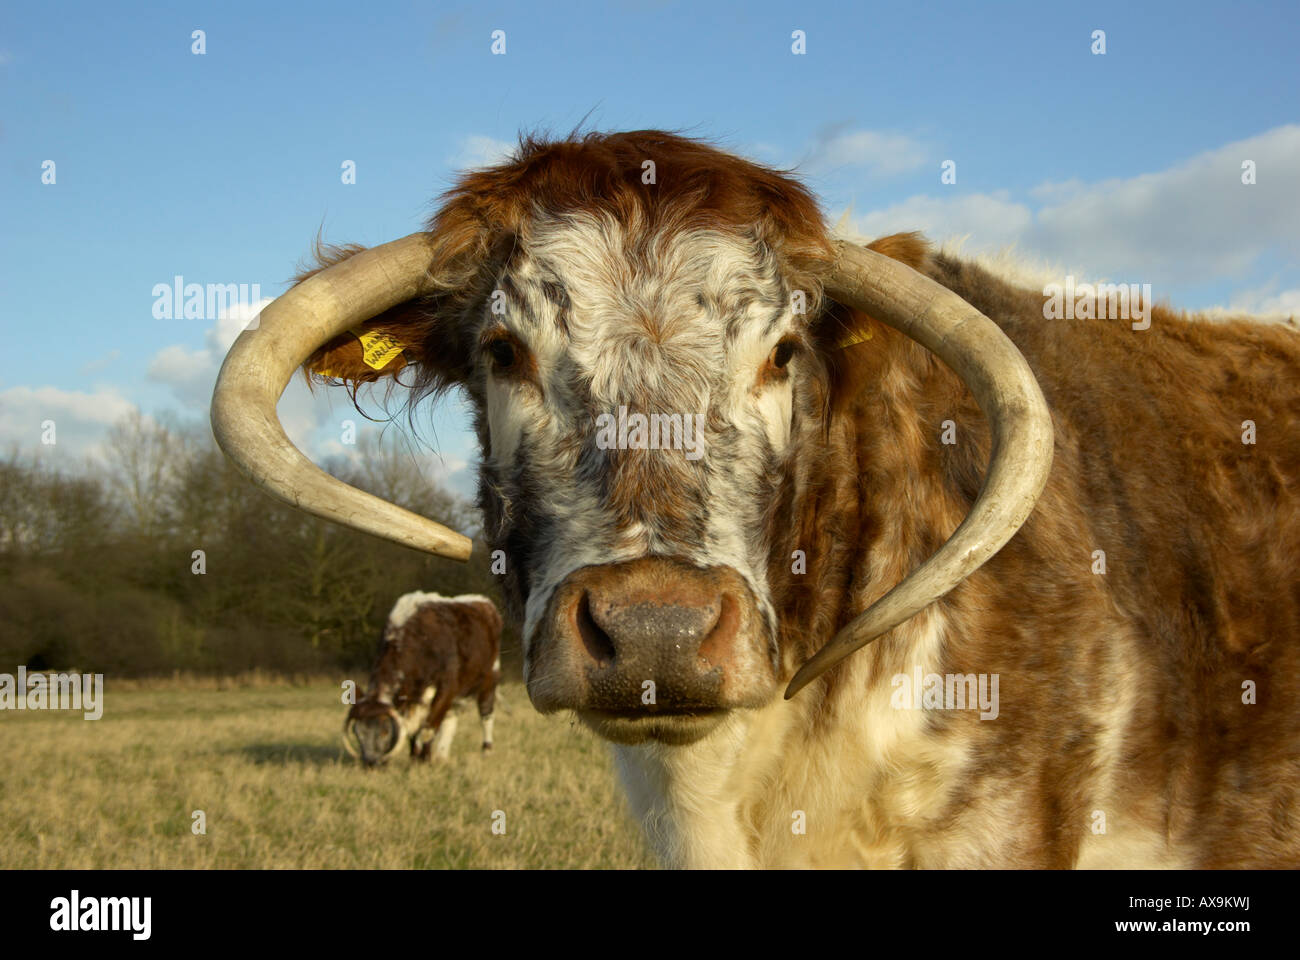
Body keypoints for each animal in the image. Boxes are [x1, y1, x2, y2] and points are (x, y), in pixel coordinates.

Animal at [345, 587, 501, 764]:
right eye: (357, 732)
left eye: (385, 731)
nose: (370, 762)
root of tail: (485, 603)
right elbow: (413, 731)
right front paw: (415, 758)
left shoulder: (446, 688)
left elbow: (428, 728)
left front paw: (424, 759)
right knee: (451, 718)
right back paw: (441, 755)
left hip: (490, 678)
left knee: (486, 713)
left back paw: (486, 750)